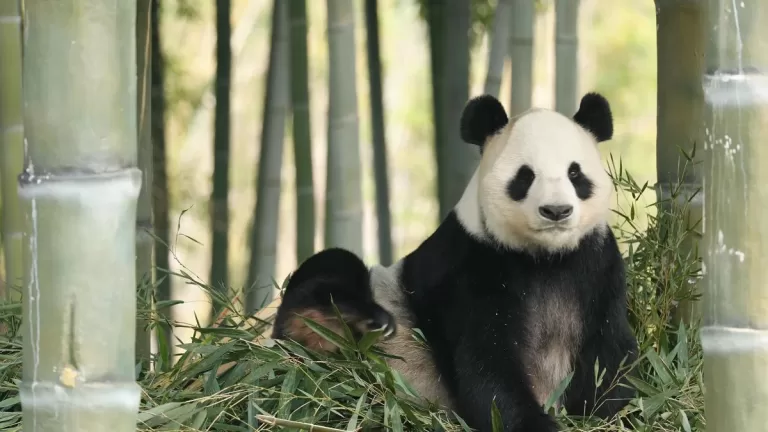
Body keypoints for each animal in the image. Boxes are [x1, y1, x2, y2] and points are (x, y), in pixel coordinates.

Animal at [272, 92, 638, 431]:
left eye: (575, 174)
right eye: (525, 177)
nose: (556, 210)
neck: (544, 256)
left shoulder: (597, 267)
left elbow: (612, 358)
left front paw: (608, 415)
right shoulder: (474, 264)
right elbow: (486, 365)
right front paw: (538, 424)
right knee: (329, 275)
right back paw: (339, 322)